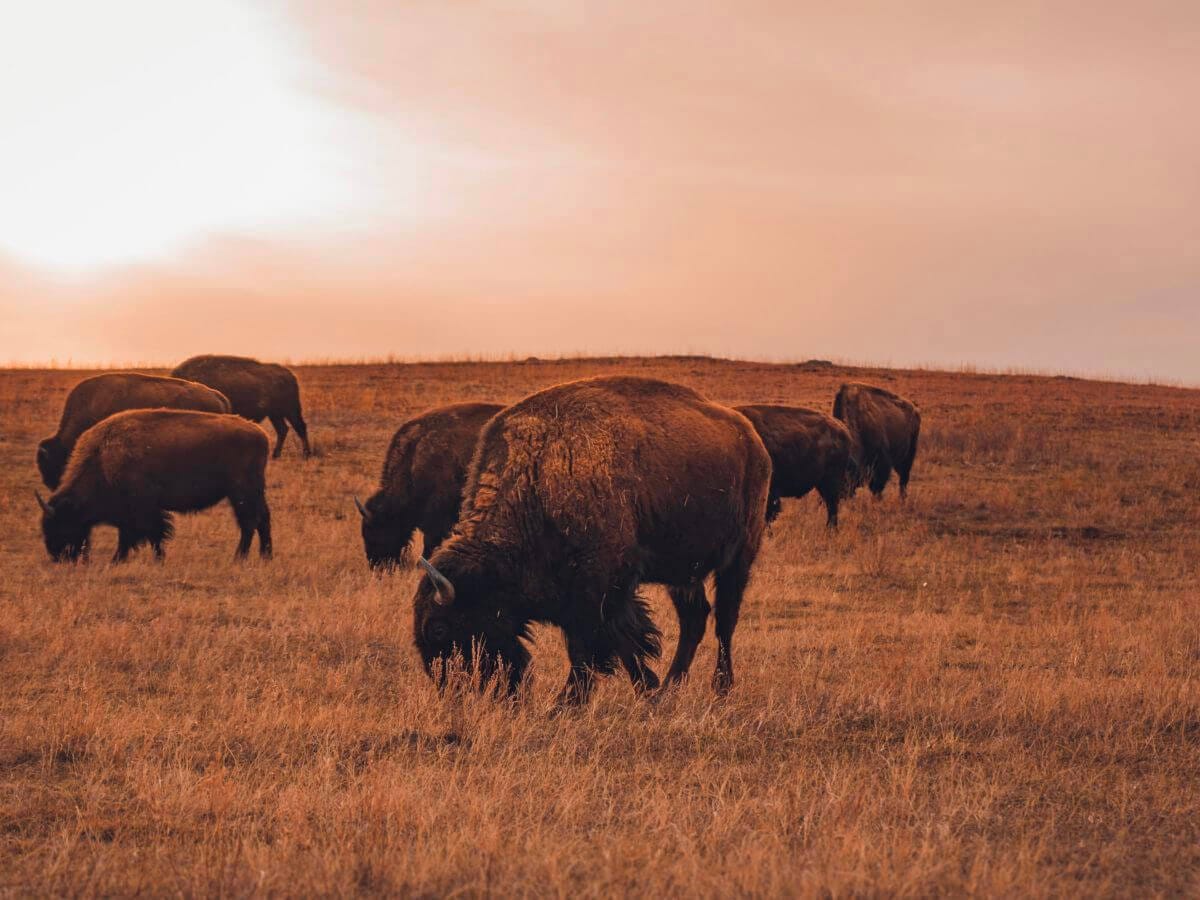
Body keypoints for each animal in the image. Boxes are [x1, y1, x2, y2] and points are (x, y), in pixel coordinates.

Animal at [36, 409, 271, 563]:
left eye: (62, 523)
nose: (58, 557)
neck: (103, 458)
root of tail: (260, 434)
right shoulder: (131, 513)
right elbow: (136, 535)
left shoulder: (142, 508)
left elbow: (149, 533)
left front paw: (137, 559)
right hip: (253, 491)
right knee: (263, 518)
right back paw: (265, 556)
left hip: (241, 492)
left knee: (249, 522)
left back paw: (239, 558)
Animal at [171, 355, 310, 458]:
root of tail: (289, 375)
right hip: (275, 414)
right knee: (283, 429)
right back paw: (276, 455)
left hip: (290, 410)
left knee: (300, 427)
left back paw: (306, 454)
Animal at [411, 376, 771, 704]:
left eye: (440, 629)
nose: (451, 690)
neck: (538, 477)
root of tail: (752, 439)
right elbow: (622, 642)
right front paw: (647, 691)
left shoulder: (599, 588)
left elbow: (590, 646)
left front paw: (565, 703)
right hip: (683, 570)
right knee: (694, 618)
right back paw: (670, 688)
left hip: (739, 557)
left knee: (725, 619)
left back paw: (721, 688)